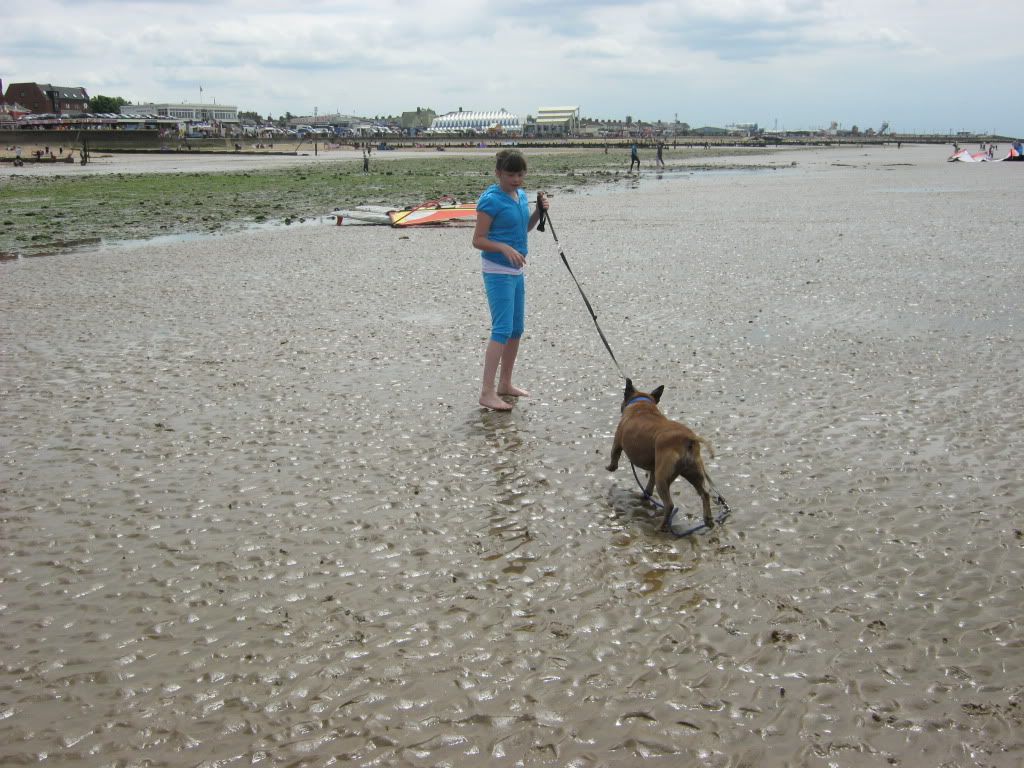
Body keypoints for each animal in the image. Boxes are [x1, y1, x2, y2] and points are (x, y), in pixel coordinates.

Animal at [602, 376, 716, 532]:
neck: (642, 403)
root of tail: (688, 438)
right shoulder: (653, 468)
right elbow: (650, 483)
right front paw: (646, 494)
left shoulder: (617, 442)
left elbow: (614, 457)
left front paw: (610, 467)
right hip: (693, 472)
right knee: (704, 494)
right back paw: (708, 520)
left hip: (663, 478)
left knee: (669, 505)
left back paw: (661, 527)